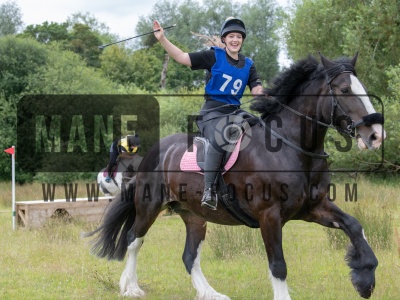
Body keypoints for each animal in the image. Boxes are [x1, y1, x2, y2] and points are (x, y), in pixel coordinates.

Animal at [86, 53, 384, 298]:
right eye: (345, 90)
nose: (376, 135)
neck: (292, 147)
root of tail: (154, 151)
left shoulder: (313, 207)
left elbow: (354, 226)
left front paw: (365, 278)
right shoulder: (269, 215)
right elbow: (278, 265)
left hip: (193, 215)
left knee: (189, 255)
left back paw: (210, 294)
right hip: (149, 206)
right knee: (133, 240)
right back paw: (131, 287)